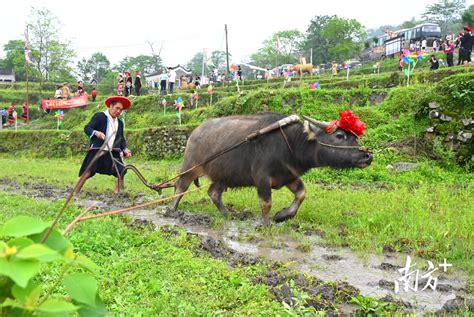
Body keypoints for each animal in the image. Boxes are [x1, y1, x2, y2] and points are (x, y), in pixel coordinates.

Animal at [171, 111, 374, 225]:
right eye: (339, 135)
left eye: (354, 136)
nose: (368, 156)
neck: (291, 143)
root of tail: (195, 132)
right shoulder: (262, 179)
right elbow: (266, 203)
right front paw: (266, 225)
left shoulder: (289, 176)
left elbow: (301, 194)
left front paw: (283, 216)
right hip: (190, 167)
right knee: (180, 187)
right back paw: (172, 211)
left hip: (223, 176)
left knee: (213, 193)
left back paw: (227, 214)